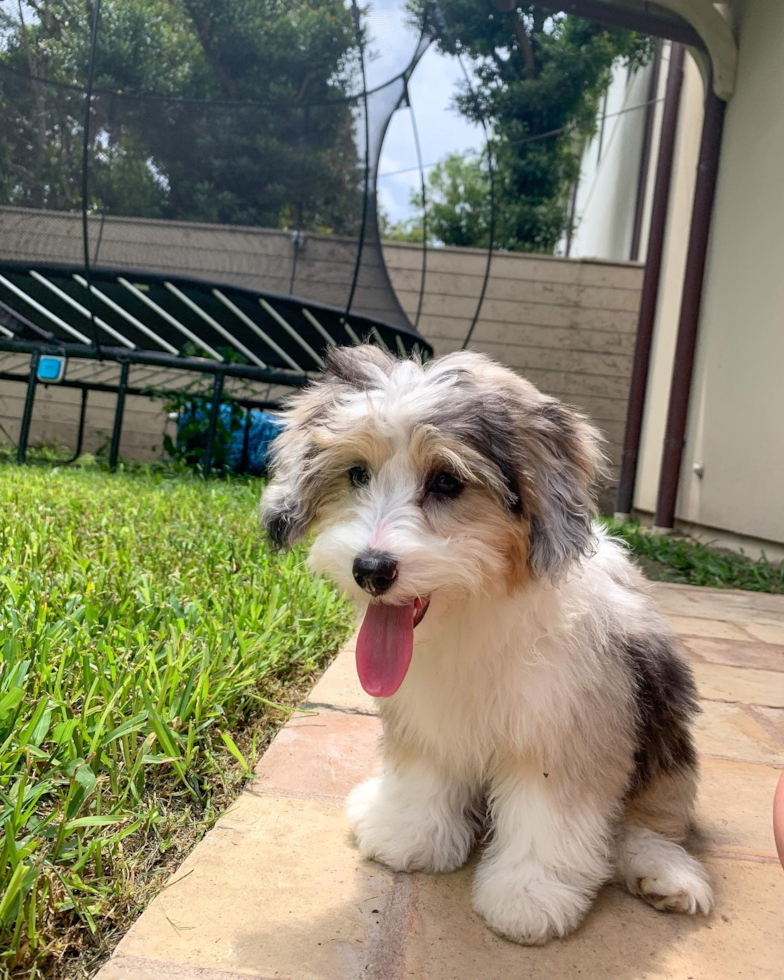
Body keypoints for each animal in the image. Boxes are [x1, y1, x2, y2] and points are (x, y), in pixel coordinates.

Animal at [260, 348, 712, 944]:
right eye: (357, 473)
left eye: (447, 481)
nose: (371, 569)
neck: (470, 610)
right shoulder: (426, 716)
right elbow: (423, 774)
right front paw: (407, 834)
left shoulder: (568, 729)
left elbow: (550, 815)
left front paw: (529, 895)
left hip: (666, 742)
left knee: (655, 819)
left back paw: (662, 872)